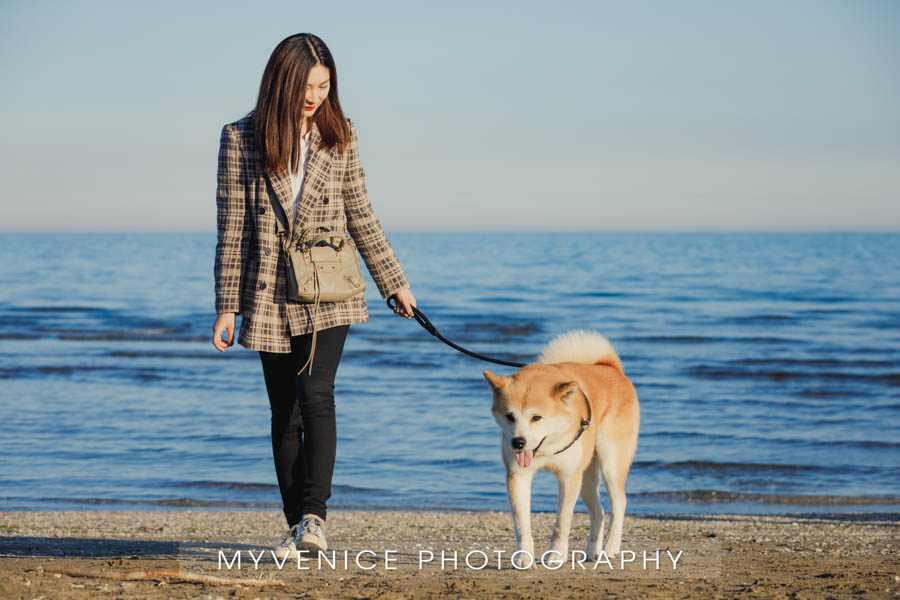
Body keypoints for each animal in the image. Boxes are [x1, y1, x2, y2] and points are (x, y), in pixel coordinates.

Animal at [486, 330, 640, 564]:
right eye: (510, 416)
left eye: (536, 417)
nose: (518, 442)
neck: (546, 448)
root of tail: (610, 367)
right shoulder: (518, 476)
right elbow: (521, 525)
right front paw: (524, 557)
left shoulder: (568, 478)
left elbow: (562, 523)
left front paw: (556, 555)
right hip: (586, 478)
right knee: (599, 512)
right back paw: (593, 551)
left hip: (610, 465)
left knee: (619, 503)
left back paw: (611, 547)